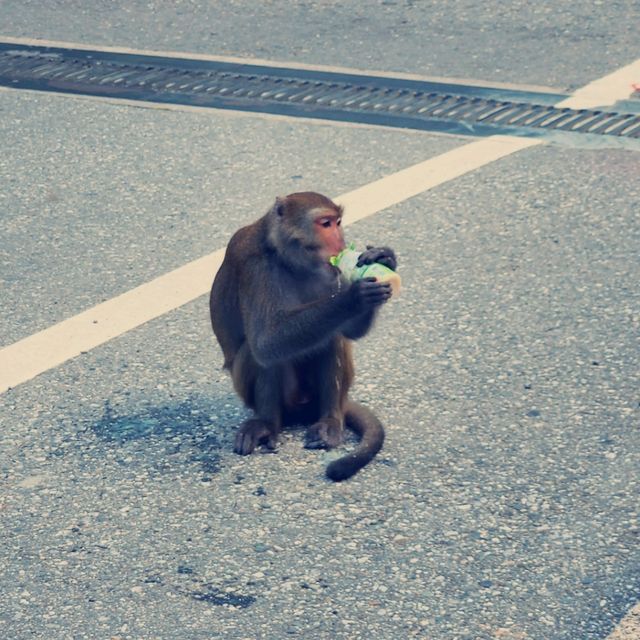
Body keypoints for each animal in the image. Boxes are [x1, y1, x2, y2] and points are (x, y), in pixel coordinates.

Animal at [210, 190, 398, 480]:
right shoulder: (255, 267)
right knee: (260, 353)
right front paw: (354, 297)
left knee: (332, 337)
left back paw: (329, 421)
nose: (341, 240)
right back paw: (267, 423)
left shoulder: (329, 273)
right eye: (325, 224)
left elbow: (349, 331)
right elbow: (266, 342)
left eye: (338, 222)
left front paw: (384, 258)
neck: (286, 258)